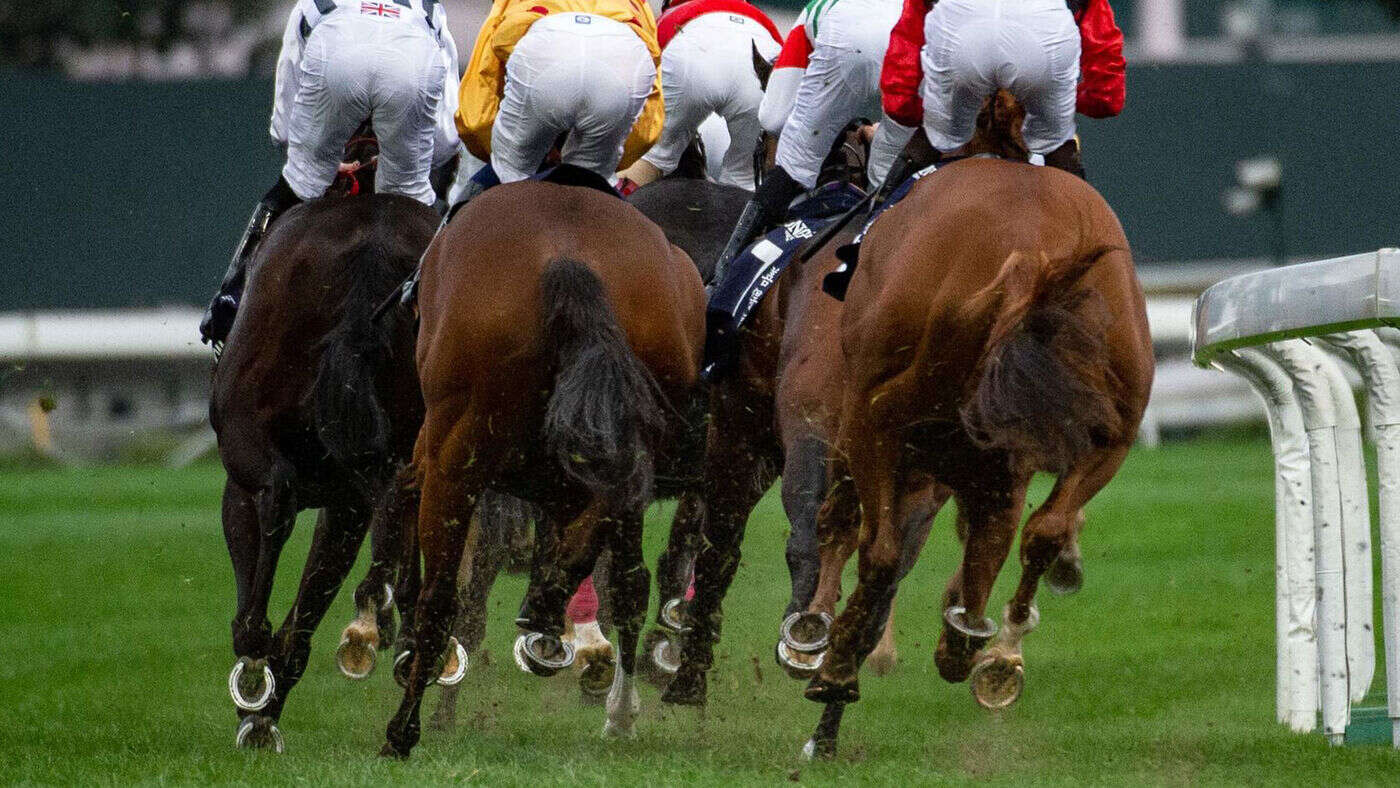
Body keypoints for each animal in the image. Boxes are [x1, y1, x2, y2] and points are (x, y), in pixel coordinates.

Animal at [207, 142, 453, 750]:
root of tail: (371, 247)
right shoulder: (350, 497)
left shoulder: (279, 485)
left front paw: (257, 697)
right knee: (407, 504)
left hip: (249, 437)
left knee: (275, 499)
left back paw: (255, 650)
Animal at [378, 174, 705, 755]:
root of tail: (568, 256)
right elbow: (620, 575)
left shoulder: (439, 463)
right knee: (624, 567)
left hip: (455, 459)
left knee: (440, 598)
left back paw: (402, 729)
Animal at [795, 120, 1153, 755]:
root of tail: (1029, 255)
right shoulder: (1000, 466)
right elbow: (996, 543)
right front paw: (967, 640)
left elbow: (851, 528)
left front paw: (823, 643)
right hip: (1109, 427)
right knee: (1043, 529)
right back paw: (990, 653)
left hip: (877, 413)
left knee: (879, 546)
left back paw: (838, 667)